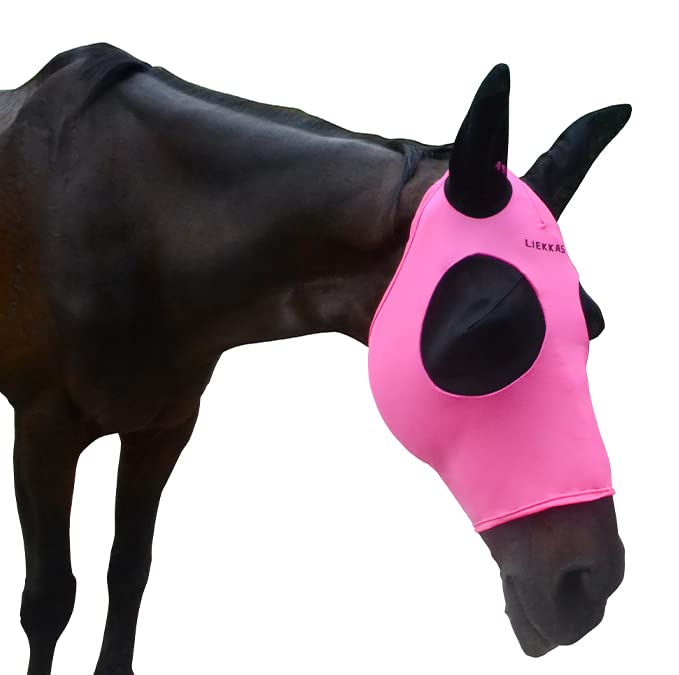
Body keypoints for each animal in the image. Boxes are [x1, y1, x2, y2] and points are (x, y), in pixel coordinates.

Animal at [0, 43, 630, 674]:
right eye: (486, 326)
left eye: (592, 324)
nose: (588, 583)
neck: (137, 225)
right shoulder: (42, 432)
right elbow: (49, 602)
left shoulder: (162, 428)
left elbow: (128, 571)